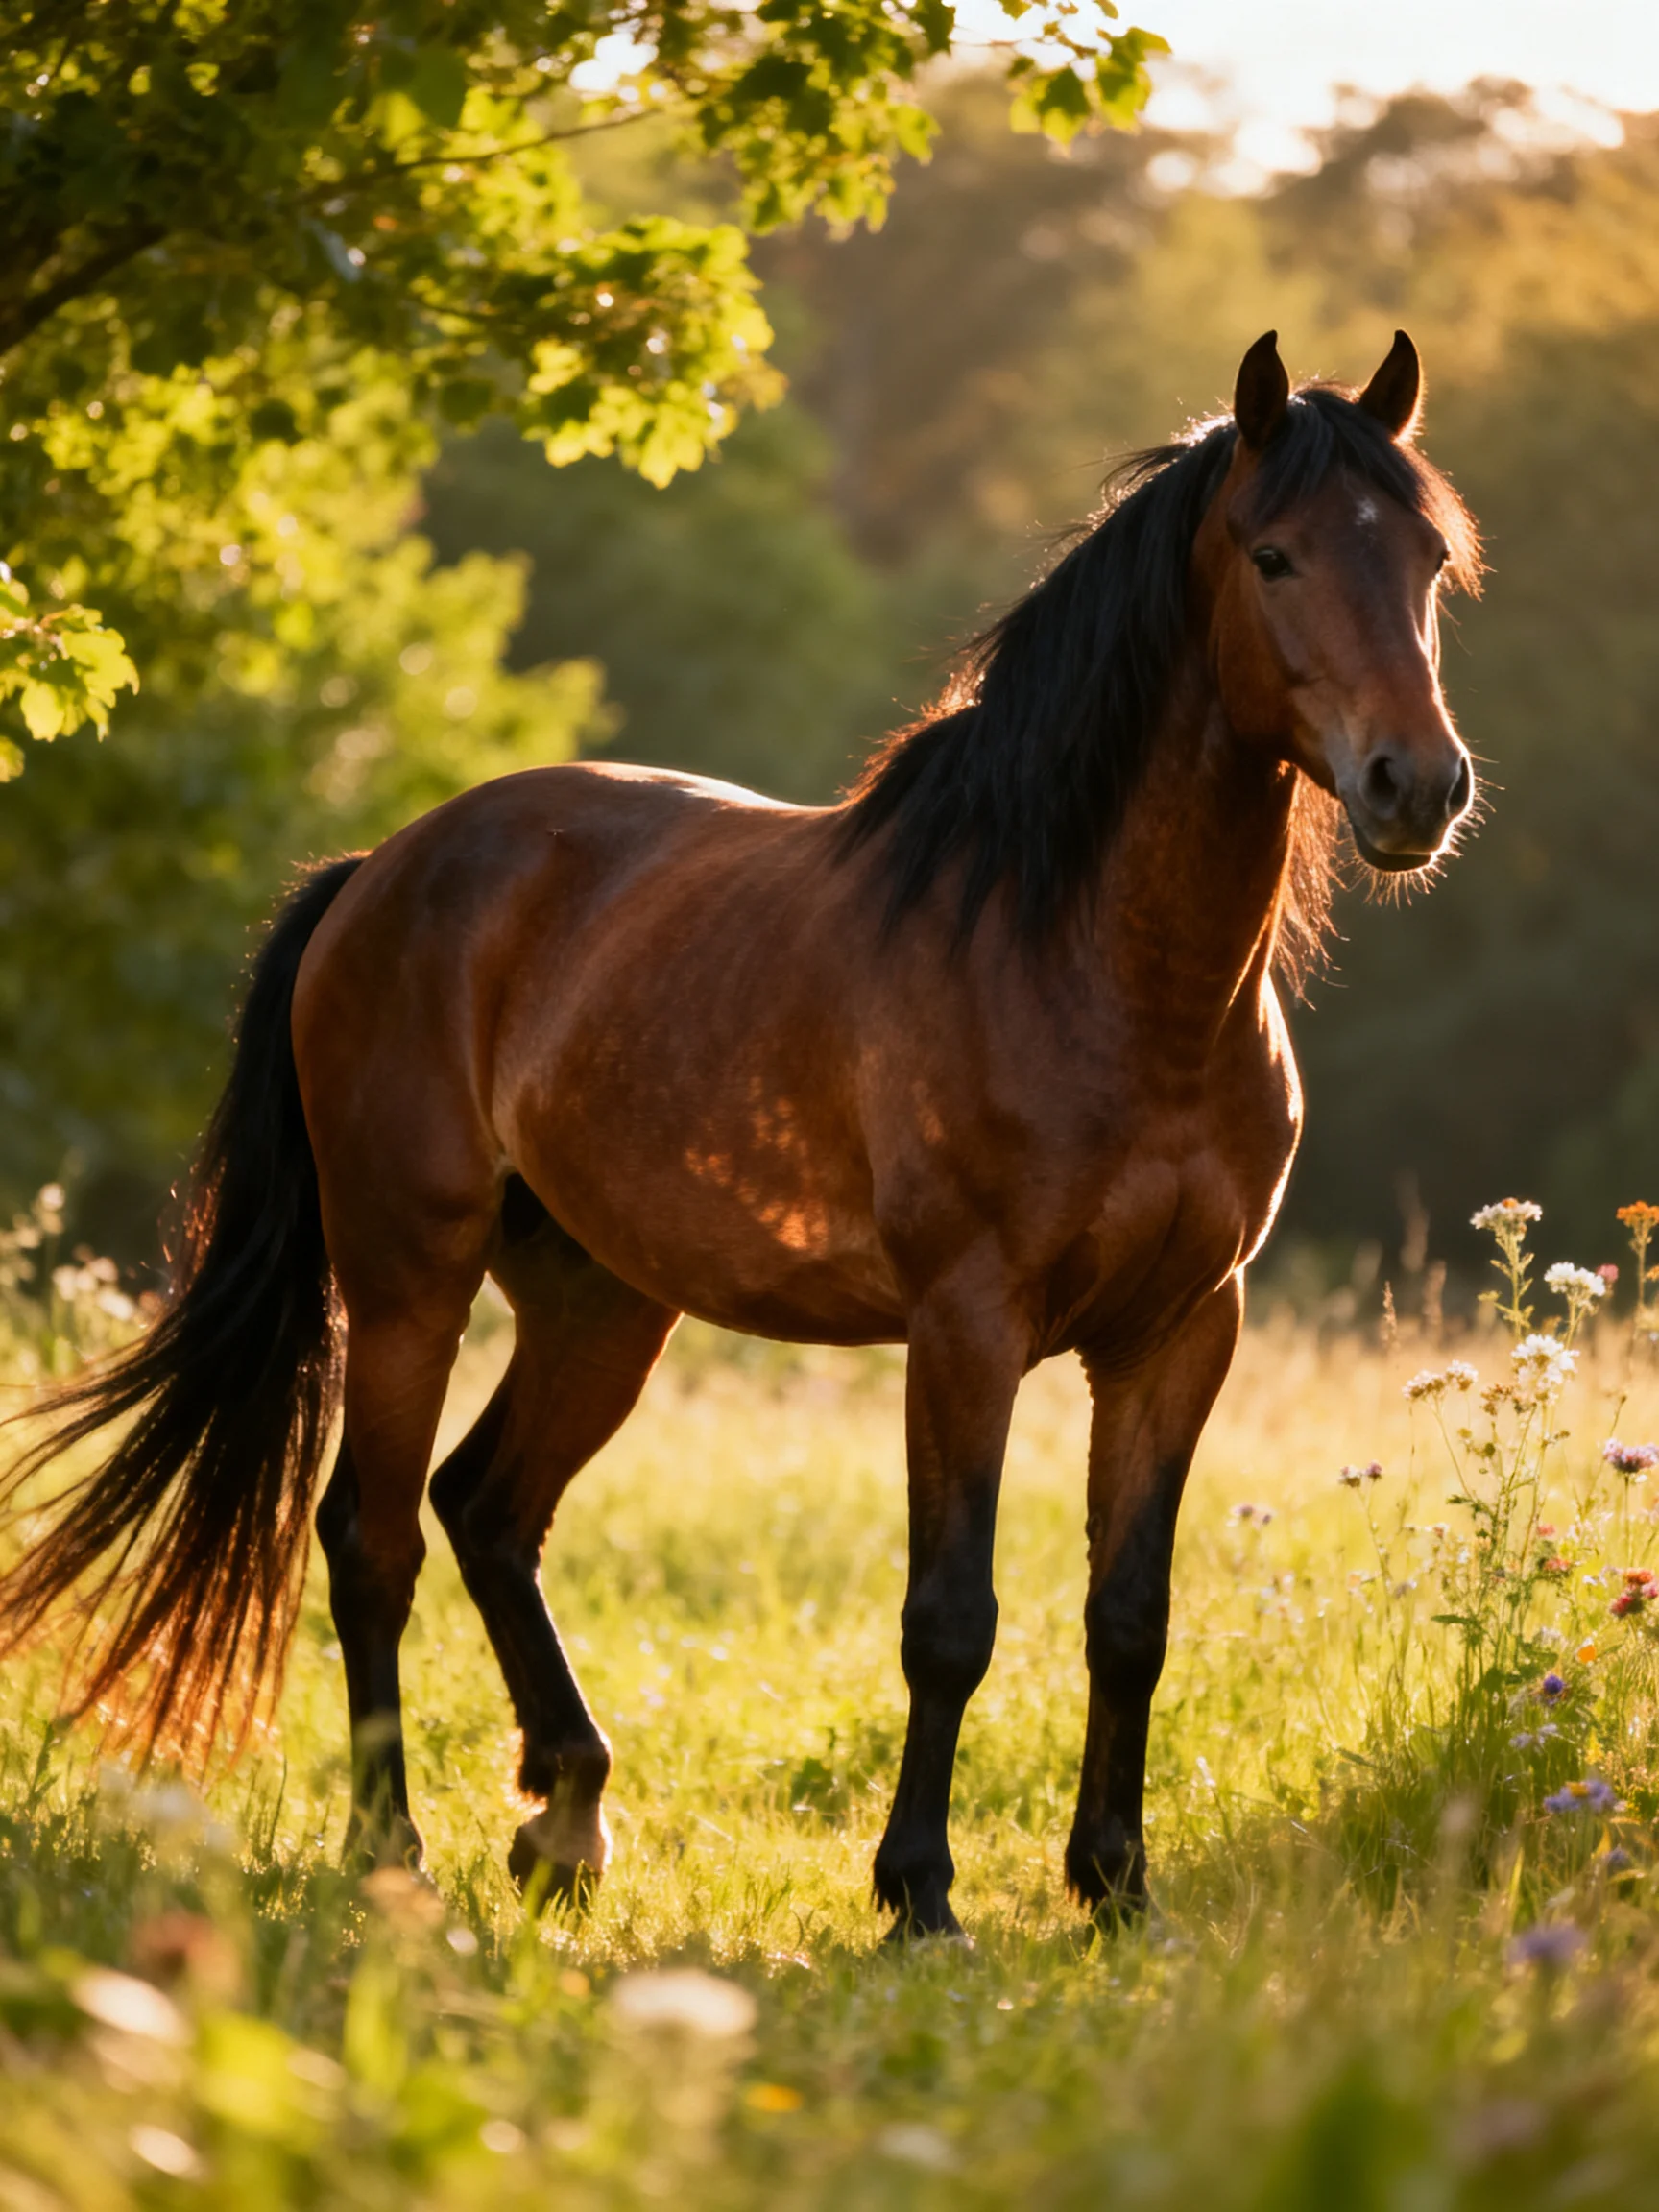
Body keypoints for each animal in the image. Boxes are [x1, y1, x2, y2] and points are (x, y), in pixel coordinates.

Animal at [0, 331, 1481, 1937]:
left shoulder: (1183, 1330)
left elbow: (1128, 1617)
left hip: (600, 1303)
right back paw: (392, 1855)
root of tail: (378, 872)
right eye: (1274, 554)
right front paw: (920, 1895)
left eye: (1429, 563)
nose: (1417, 785)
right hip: (407, 1284)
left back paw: (568, 1818)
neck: (1095, 966)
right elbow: (950, 1618)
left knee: (488, 1508)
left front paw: (1116, 1889)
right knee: (373, 1536)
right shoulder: (968, 1326)